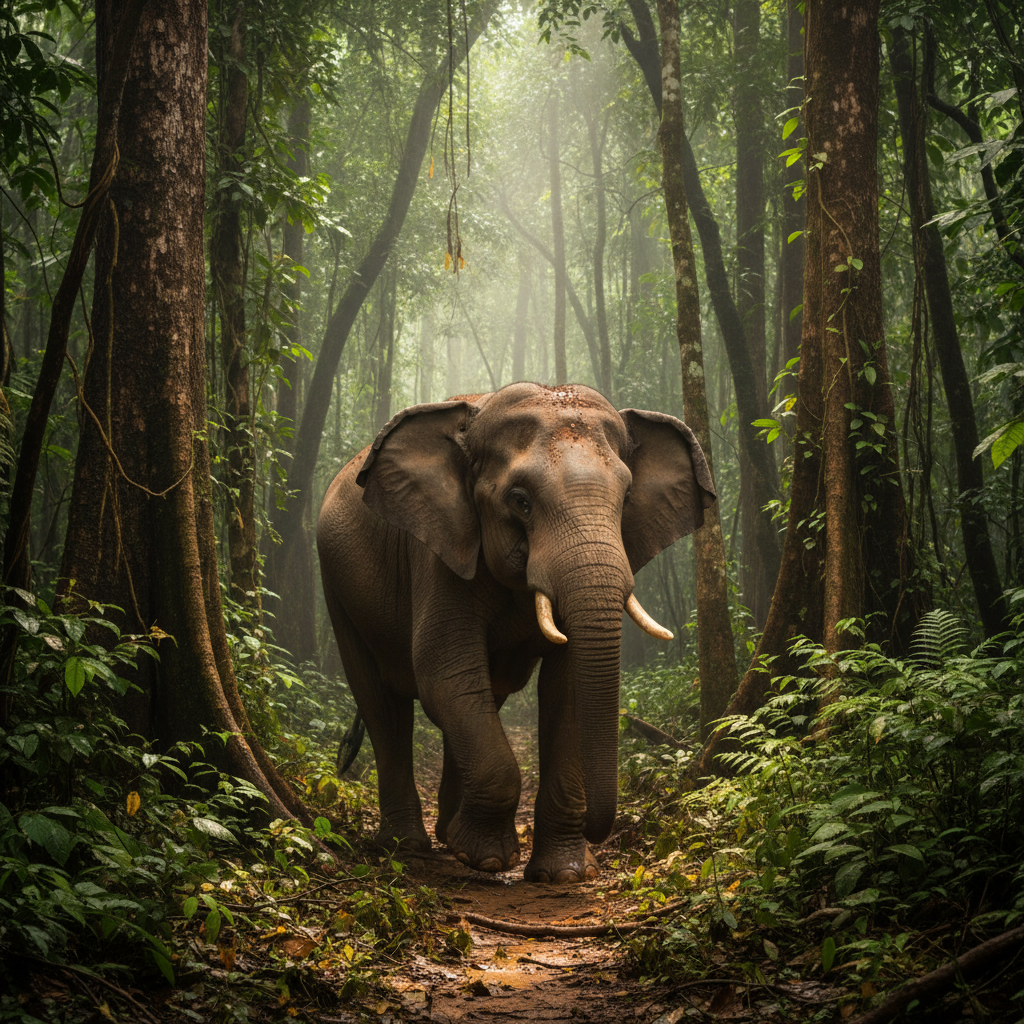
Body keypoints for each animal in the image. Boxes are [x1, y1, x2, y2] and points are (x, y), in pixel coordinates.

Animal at [317, 382, 716, 882]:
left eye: (626, 500)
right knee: (384, 704)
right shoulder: (440, 552)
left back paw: (449, 835)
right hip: (336, 586)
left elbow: (564, 689)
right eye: (521, 500)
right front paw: (487, 859)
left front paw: (563, 873)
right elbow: (442, 671)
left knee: (475, 698)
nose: (599, 831)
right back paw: (408, 846)